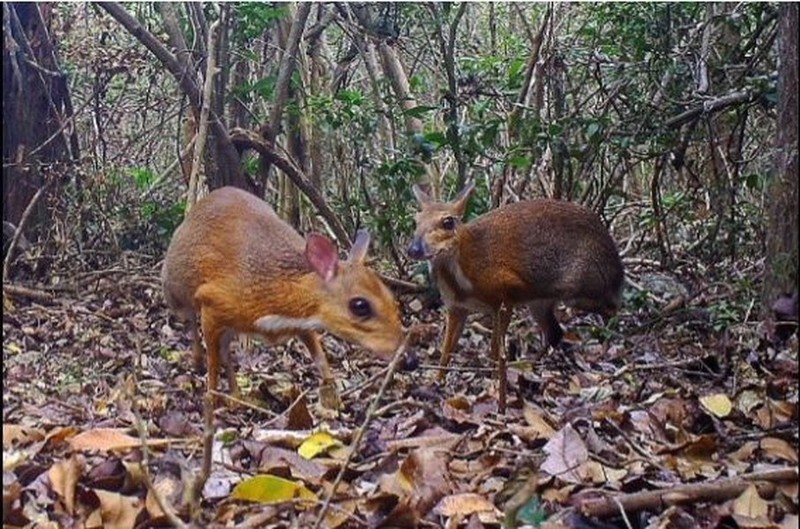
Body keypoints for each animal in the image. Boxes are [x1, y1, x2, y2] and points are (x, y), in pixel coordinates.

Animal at [406, 179, 624, 410]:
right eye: (415, 221)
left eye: (448, 222)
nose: (414, 249)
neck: (464, 276)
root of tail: (616, 261)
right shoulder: (456, 307)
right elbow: (446, 351)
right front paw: (436, 381)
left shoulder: (505, 294)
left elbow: (494, 347)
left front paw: (494, 380)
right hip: (540, 302)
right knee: (555, 332)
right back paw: (531, 365)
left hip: (584, 288)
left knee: (613, 309)